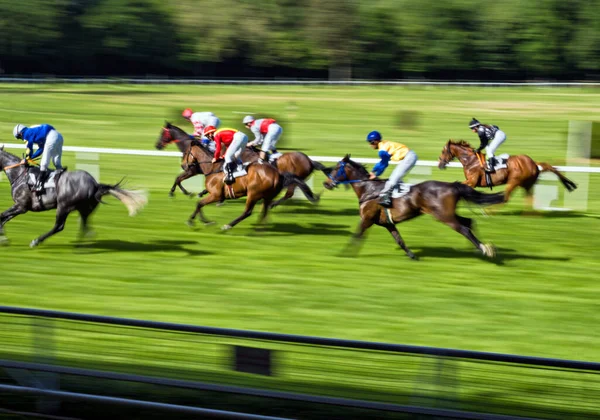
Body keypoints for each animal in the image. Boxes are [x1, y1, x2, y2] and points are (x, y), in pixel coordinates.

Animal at [0, 145, 147, 249]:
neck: (19, 175)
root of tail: (95, 185)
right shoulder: (19, 207)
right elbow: (3, 218)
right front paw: (4, 239)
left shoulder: (21, 206)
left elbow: (1, 216)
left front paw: (4, 239)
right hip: (84, 209)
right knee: (84, 225)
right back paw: (82, 244)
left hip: (63, 206)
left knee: (59, 226)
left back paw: (36, 241)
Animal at [157, 125, 322, 230]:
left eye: (186, 153)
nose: (184, 165)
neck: (211, 167)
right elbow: (193, 195)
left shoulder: (215, 193)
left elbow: (198, 201)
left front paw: (196, 218)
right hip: (267, 195)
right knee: (266, 209)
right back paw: (261, 226)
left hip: (253, 193)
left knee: (250, 211)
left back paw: (229, 225)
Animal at [322, 155, 504, 258]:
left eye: (336, 168)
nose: (326, 183)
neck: (368, 189)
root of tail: (452, 185)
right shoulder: (388, 223)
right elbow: (399, 240)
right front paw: (412, 255)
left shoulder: (367, 219)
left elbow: (356, 235)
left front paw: (344, 253)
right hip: (448, 214)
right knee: (469, 221)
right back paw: (477, 249)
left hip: (444, 216)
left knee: (464, 229)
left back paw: (483, 249)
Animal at [436, 139, 576, 205]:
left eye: (443, 151)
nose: (440, 164)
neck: (471, 161)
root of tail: (534, 163)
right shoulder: (470, 182)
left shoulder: (472, 182)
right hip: (527, 184)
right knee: (530, 198)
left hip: (515, 181)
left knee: (506, 197)